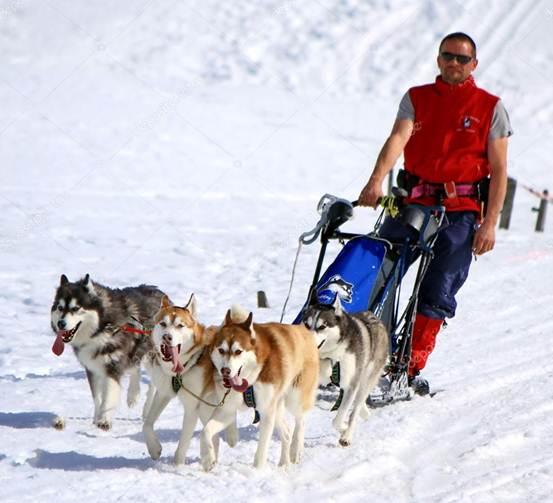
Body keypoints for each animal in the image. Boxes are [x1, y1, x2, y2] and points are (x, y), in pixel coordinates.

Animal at [49, 276, 164, 430]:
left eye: (76, 308)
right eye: (60, 308)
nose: (61, 323)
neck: (100, 330)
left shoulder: (112, 367)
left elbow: (108, 397)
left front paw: (104, 420)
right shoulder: (92, 368)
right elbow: (97, 398)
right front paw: (97, 418)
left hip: (152, 356)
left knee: (153, 384)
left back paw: (146, 410)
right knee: (135, 367)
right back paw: (133, 395)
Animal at [142, 296, 237, 464]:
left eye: (180, 325)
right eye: (163, 324)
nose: (167, 337)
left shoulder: (192, 407)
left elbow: (183, 443)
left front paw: (178, 465)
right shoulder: (163, 393)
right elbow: (147, 424)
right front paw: (154, 448)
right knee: (215, 437)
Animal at [201, 312, 316, 472]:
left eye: (238, 351)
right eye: (221, 350)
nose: (225, 371)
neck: (250, 379)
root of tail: (303, 330)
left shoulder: (266, 411)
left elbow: (262, 448)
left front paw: (257, 471)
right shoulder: (228, 410)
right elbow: (205, 431)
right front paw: (208, 459)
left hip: (295, 399)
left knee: (300, 421)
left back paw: (295, 450)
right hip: (277, 407)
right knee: (287, 433)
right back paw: (284, 464)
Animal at [302, 298, 388, 446]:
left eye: (322, 326)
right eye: (307, 325)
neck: (330, 356)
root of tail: (375, 318)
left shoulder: (351, 386)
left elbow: (338, 419)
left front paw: (344, 430)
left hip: (366, 378)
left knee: (356, 407)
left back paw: (348, 434)